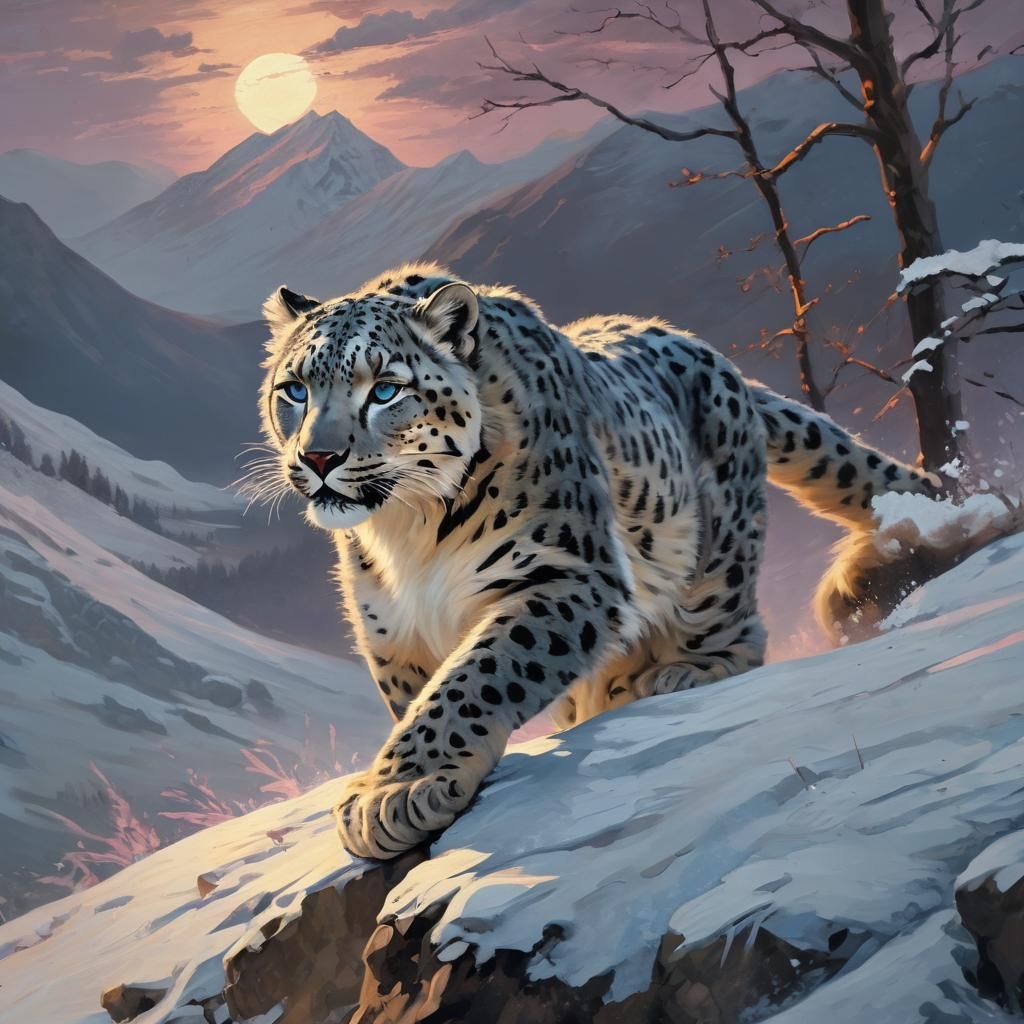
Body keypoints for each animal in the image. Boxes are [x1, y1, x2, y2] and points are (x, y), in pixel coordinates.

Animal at [256, 262, 939, 860]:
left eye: (385, 390)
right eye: (295, 390)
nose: (318, 458)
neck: (407, 530)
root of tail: (714, 355)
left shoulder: (565, 574)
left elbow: (472, 679)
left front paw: (395, 793)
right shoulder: (391, 631)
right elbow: (420, 696)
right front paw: (402, 782)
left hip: (715, 559)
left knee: (740, 630)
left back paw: (675, 675)